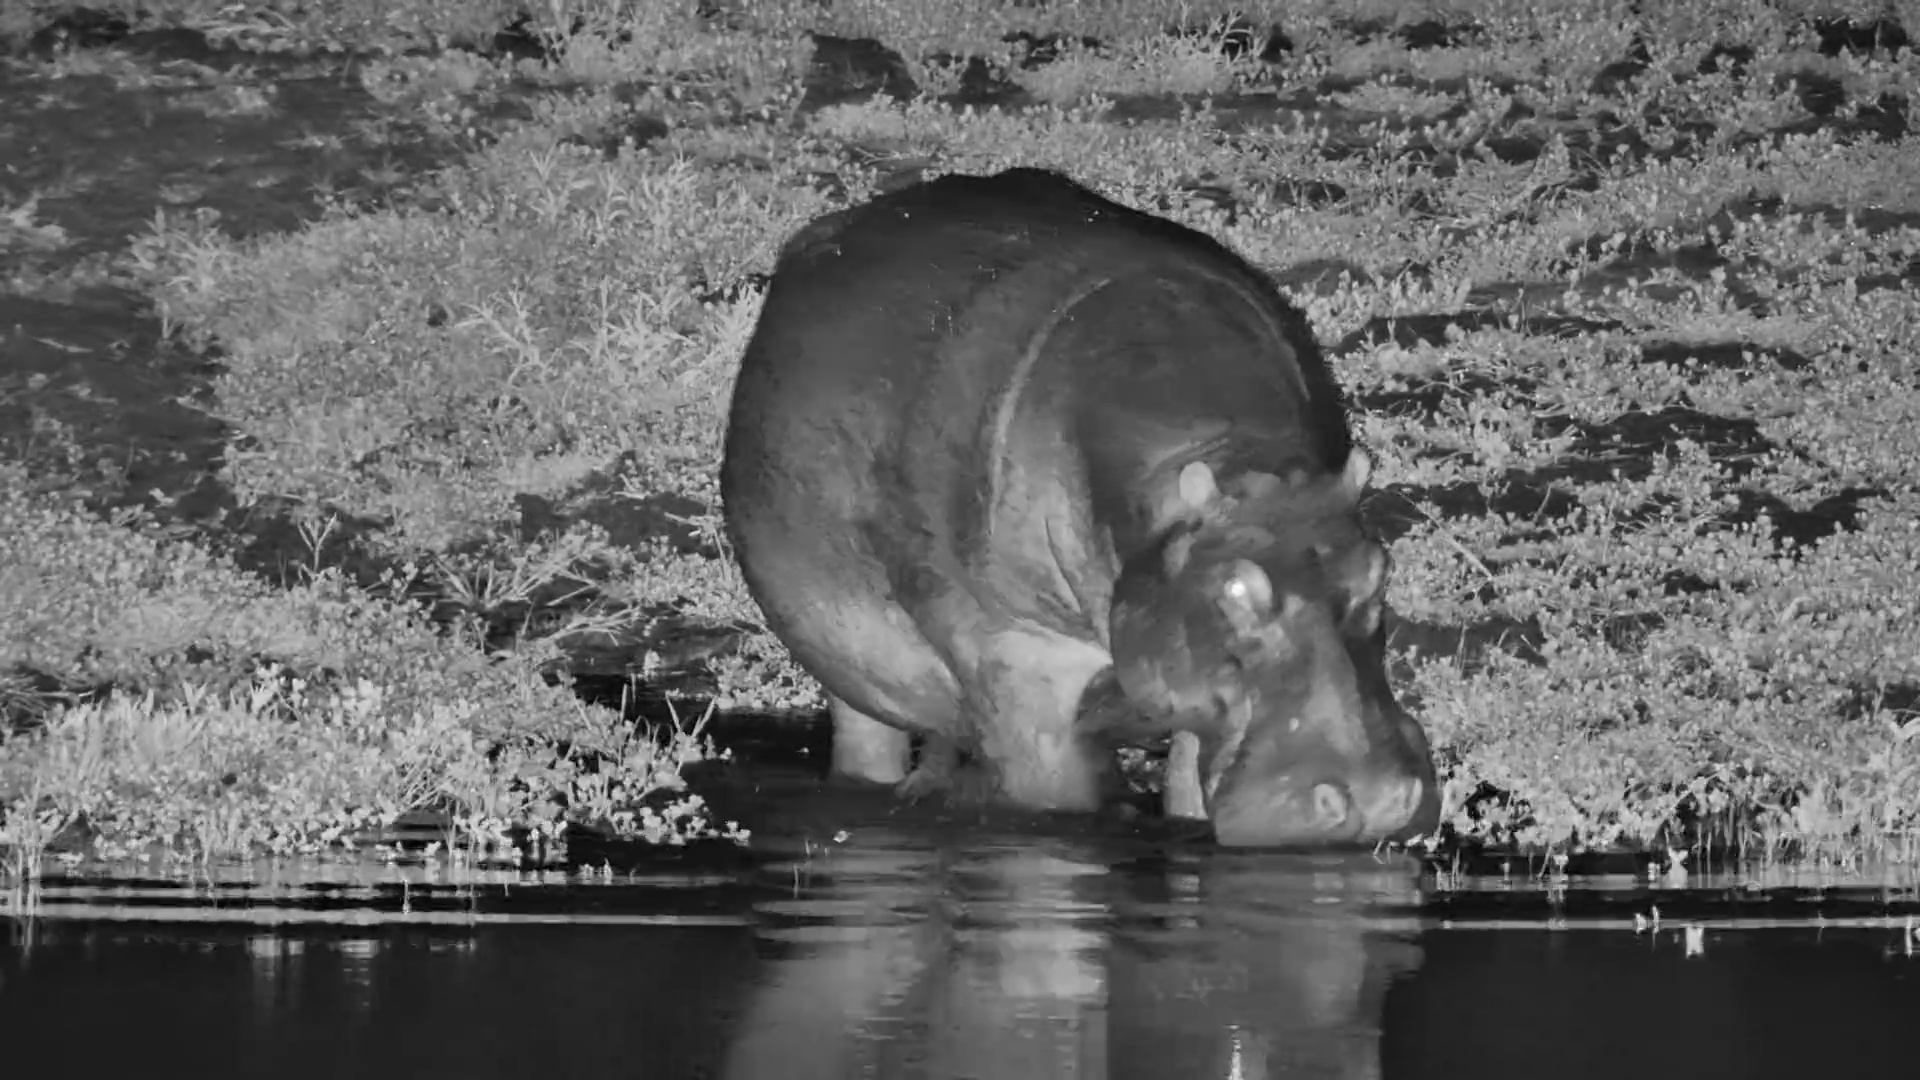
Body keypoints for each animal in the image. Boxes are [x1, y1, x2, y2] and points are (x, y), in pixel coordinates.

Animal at [719, 166, 1439, 847]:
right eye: (1233, 588)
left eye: (1380, 569)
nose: (1379, 800)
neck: (1229, 455)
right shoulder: (1020, 657)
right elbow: (1053, 798)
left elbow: (1190, 783)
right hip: (848, 662)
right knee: (867, 737)